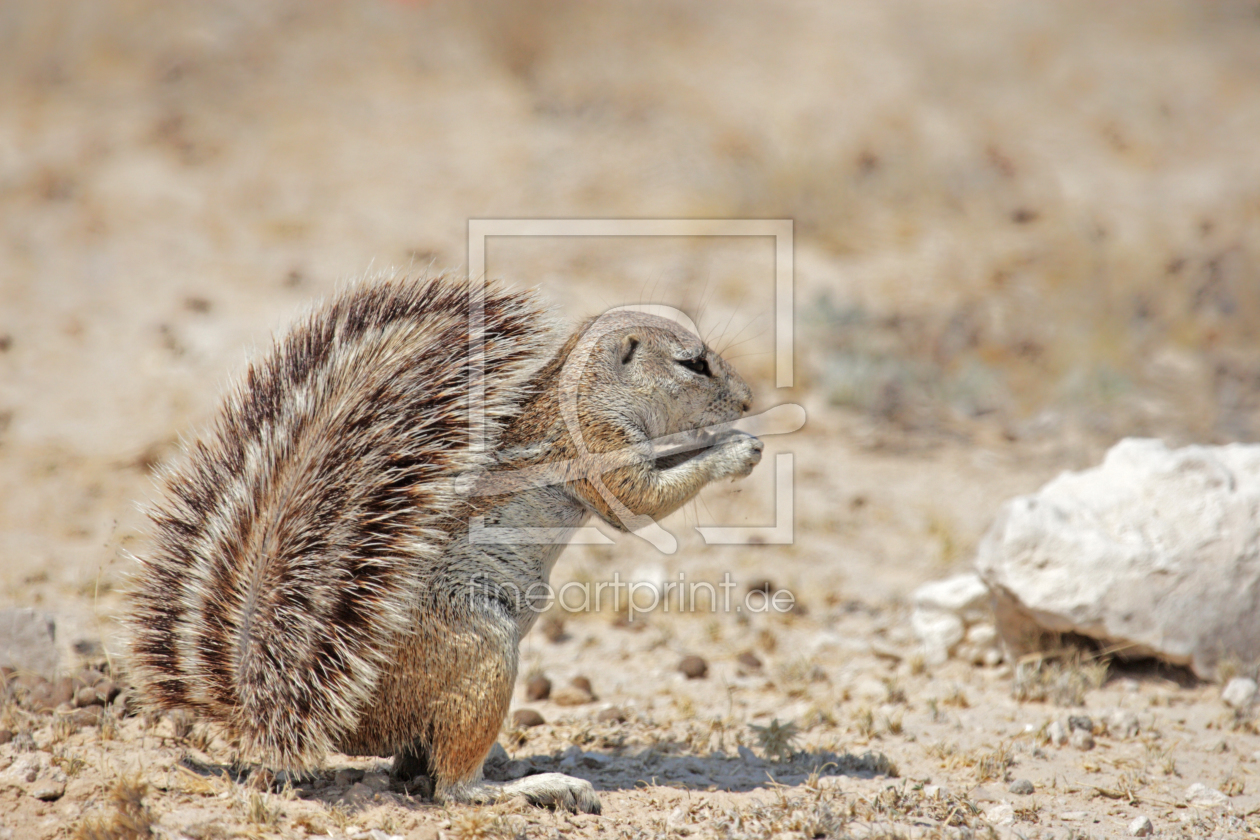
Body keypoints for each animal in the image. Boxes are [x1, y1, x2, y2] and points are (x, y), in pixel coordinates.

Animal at [127, 275, 761, 816]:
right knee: (452, 787)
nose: (748, 401)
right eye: (693, 363)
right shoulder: (598, 446)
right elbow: (640, 499)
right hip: (482, 649)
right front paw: (735, 448)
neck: (585, 389)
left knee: (417, 763)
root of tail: (281, 704)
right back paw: (535, 787)